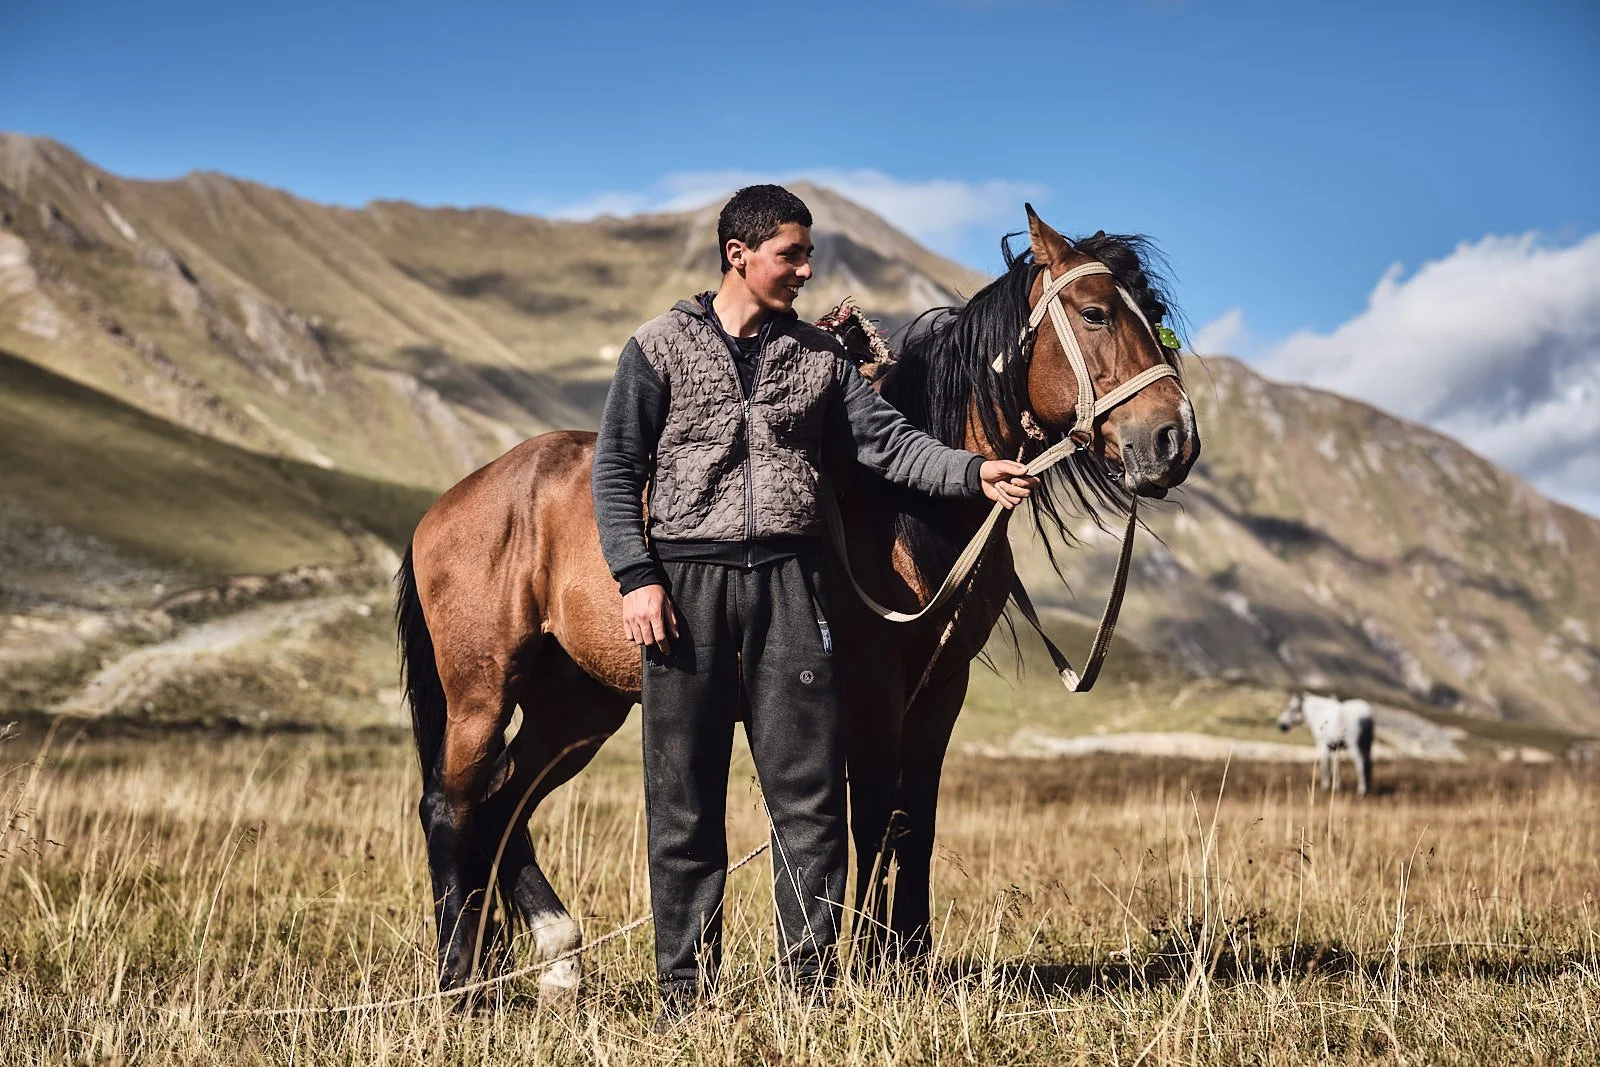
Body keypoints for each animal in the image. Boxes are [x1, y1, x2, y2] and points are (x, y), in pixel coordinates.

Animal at [395, 206, 1201, 999]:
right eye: (1094, 312)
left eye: (1155, 313)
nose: (1172, 441)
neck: (903, 506)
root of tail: (447, 505)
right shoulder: (872, 685)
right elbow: (875, 815)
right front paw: (873, 969)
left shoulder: (941, 688)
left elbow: (917, 819)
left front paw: (911, 960)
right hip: (484, 689)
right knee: (451, 806)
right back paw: (457, 978)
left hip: (577, 706)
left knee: (504, 803)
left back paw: (557, 959)